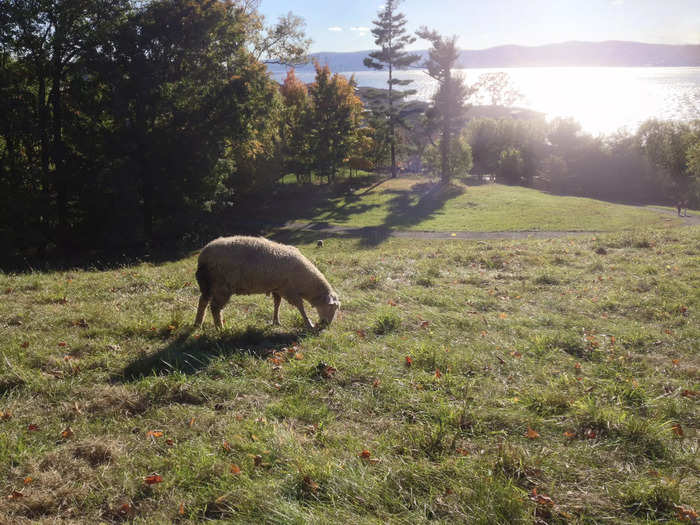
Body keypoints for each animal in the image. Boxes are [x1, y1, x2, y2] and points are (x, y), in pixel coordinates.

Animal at [194, 236, 342, 330]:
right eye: (332, 307)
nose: (326, 325)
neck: (304, 280)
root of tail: (203, 255)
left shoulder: (277, 288)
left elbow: (277, 304)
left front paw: (276, 321)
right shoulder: (289, 290)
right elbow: (300, 307)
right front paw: (309, 324)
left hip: (208, 284)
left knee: (203, 302)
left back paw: (198, 324)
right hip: (221, 286)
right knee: (215, 307)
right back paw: (220, 328)